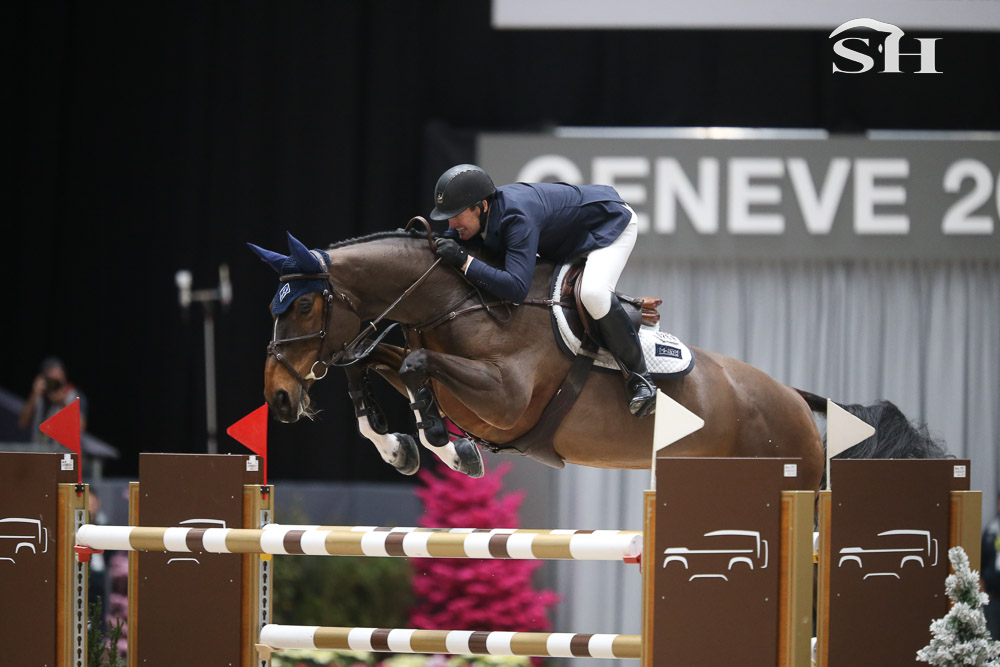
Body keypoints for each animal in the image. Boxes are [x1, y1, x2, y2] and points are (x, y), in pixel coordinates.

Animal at [250, 228, 948, 492]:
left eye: (304, 307)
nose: (279, 398)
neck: (460, 299)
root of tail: (793, 399)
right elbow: (373, 365)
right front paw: (398, 446)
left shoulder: (504, 400)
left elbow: (415, 369)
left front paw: (453, 451)